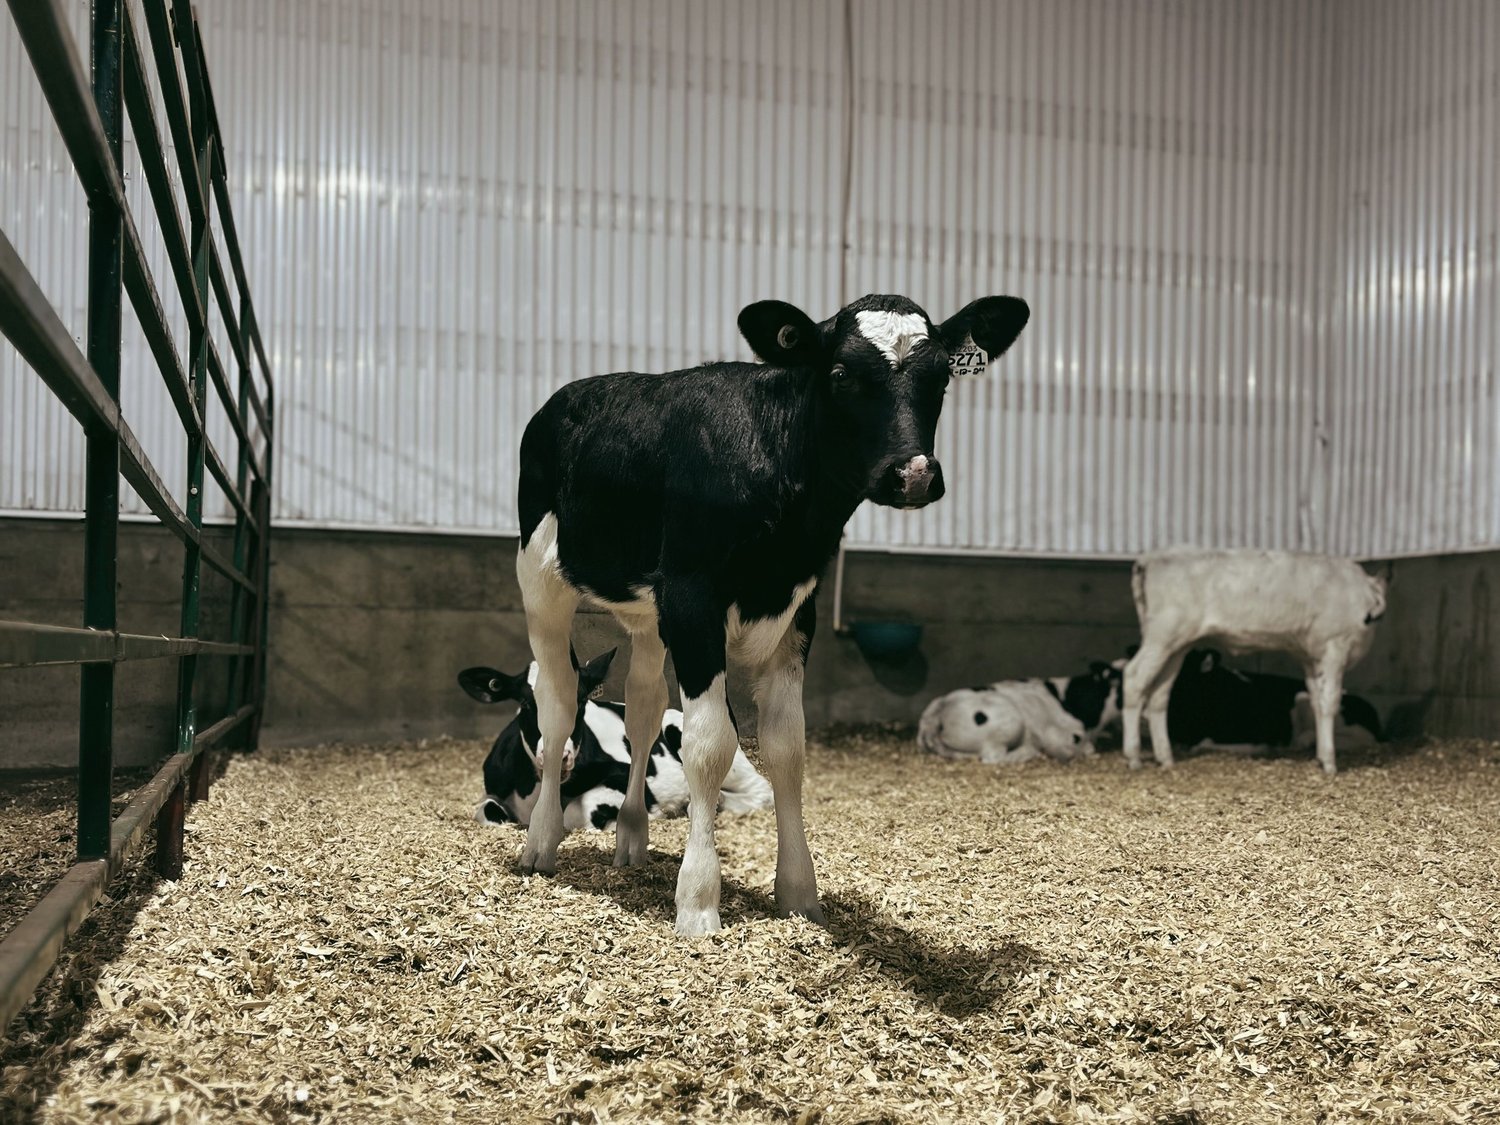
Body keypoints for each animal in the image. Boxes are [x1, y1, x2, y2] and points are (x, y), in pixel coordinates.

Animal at [458, 648, 771, 832]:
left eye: (581, 700)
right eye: (525, 702)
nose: (559, 755)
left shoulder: (629, 777)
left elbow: (576, 812)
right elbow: (487, 812)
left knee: (761, 790)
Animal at [514, 292, 1030, 933]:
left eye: (940, 377)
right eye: (841, 374)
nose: (914, 474)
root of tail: (565, 397)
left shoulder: (798, 609)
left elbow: (787, 748)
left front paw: (798, 892)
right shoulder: (693, 596)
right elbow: (710, 743)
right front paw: (698, 901)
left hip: (649, 615)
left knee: (642, 708)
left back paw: (632, 840)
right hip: (541, 578)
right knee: (559, 704)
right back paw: (541, 843)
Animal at [1121, 549, 1387, 774]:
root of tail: (1152, 557)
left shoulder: (1310, 656)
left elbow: (1317, 703)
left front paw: (1322, 757)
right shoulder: (1334, 648)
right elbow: (1329, 701)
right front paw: (1330, 763)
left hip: (1176, 647)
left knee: (1159, 695)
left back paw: (1165, 757)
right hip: (1161, 637)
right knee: (1134, 678)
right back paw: (1133, 756)